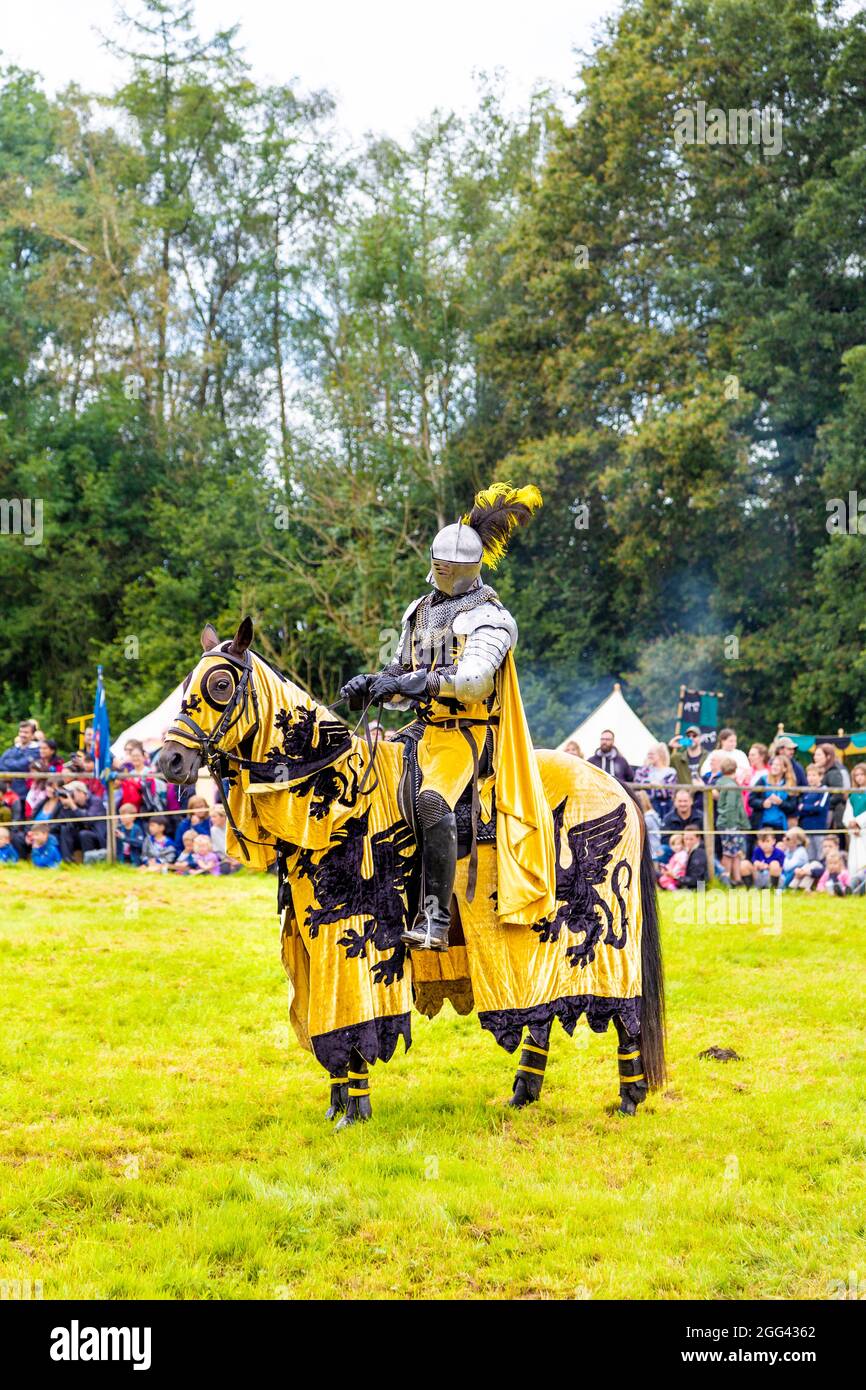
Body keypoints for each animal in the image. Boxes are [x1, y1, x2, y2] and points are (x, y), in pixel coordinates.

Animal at [159, 619, 667, 1128]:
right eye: (186, 685)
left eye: (220, 686)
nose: (169, 762)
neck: (331, 792)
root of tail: (618, 786)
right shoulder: (312, 938)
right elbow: (329, 1024)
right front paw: (337, 1102)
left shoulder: (350, 939)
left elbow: (357, 1017)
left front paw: (356, 1109)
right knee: (540, 1014)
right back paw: (524, 1092)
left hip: (599, 932)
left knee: (620, 998)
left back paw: (629, 1095)